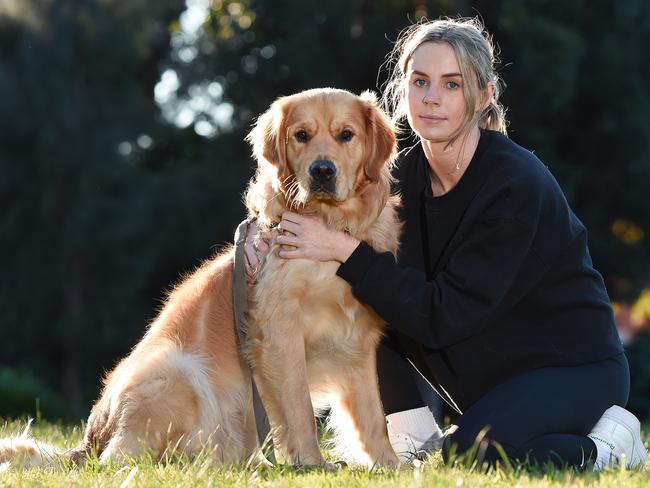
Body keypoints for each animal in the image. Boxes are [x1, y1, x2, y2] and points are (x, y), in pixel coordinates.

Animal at [0, 87, 400, 468]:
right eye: (301, 135)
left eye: (346, 135)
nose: (322, 171)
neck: (330, 226)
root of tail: (90, 437)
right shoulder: (279, 330)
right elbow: (299, 408)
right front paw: (313, 464)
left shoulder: (357, 337)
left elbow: (374, 416)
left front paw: (391, 466)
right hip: (179, 371)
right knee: (122, 457)